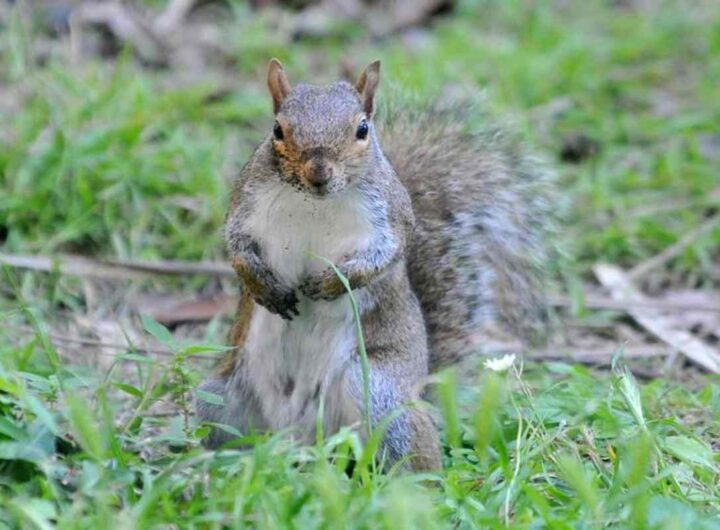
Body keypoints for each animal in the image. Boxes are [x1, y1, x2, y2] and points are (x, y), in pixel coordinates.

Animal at [194, 59, 556, 468]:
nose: (318, 173)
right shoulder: (245, 203)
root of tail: (304, 435)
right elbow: (237, 248)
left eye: (362, 129)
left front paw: (332, 283)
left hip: (378, 393)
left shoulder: (391, 217)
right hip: (218, 396)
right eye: (277, 130)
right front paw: (263, 288)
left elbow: (385, 254)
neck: (314, 203)